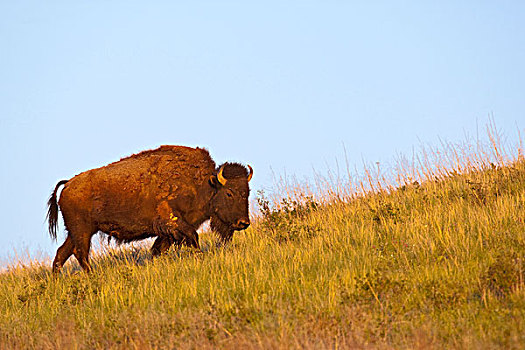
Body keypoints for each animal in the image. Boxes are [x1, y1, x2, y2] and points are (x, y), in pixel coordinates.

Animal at [48, 146, 253, 272]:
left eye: (247, 191)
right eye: (229, 193)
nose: (243, 223)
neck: (204, 183)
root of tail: (68, 184)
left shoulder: (167, 233)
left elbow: (158, 250)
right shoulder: (174, 222)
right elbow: (193, 237)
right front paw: (199, 257)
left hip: (76, 232)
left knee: (62, 254)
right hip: (82, 231)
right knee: (80, 253)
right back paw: (93, 276)